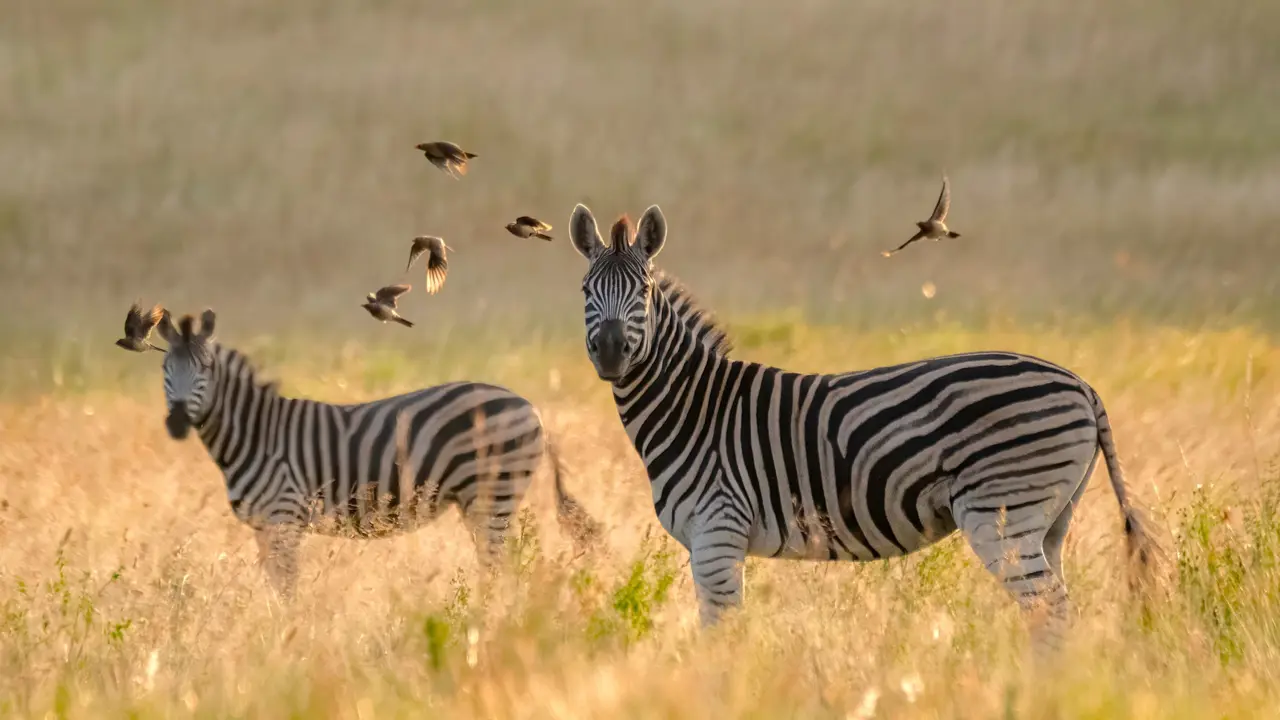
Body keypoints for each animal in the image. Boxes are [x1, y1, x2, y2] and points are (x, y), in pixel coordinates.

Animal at [156, 310, 599, 597]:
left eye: (206, 368)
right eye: (165, 369)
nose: (176, 422)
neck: (255, 433)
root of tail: (530, 406)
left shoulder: (284, 518)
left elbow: (288, 590)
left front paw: (290, 639)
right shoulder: (264, 527)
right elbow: (275, 588)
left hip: (494, 493)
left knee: (498, 568)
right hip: (484, 501)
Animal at [567, 203, 1154, 650]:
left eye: (643, 290)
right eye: (584, 290)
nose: (612, 351)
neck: (693, 405)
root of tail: (1082, 384)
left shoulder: (717, 534)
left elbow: (721, 637)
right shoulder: (709, 542)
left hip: (1001, 512)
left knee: (1048, 610)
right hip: (1049, 519)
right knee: (1056, 610)